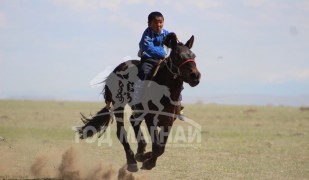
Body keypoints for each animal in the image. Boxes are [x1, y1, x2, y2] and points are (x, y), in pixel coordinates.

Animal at [78, 32, 201, 172]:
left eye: (193, 56)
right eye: (176, 56)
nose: (195, 76)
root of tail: (117, 69)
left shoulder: (169, 120)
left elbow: (161, 147)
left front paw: (147, 158)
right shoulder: (150, 118)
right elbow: (157, 145)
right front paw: (148, 162)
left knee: (133, 120)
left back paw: (141, 152)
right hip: (119, 105)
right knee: (121, 131)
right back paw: (132, 161)